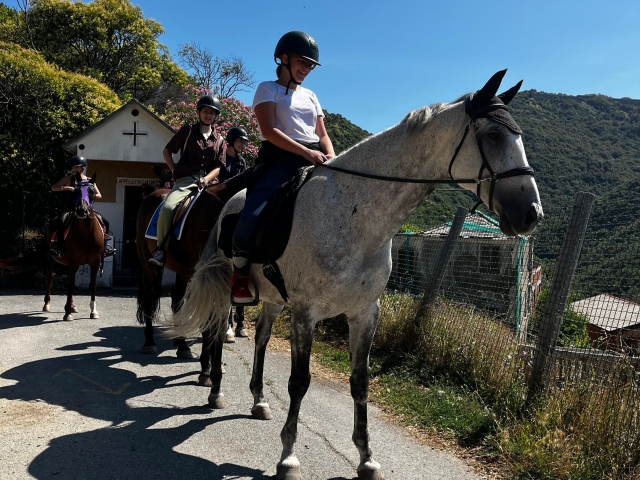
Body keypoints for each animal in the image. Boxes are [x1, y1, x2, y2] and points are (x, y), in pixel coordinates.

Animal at [43, 173, 104, 321]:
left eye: (92, 191)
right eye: (76, 191)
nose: (82, 211)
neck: (87, 233)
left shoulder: (95, 262)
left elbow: (92, 286)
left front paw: (93, 311)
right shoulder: (73, 262)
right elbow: (70, 285)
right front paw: (67, 313)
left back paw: (72, 306)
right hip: (51, 259)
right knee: (49, 279)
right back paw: (47, 305)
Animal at [135, 173, 247, 376]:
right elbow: (209, 321)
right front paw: (207, 367)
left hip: (184, 272)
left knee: (177, 299)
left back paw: (182, 345)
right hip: (148, 267)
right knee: (148, 300)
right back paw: (150, 343)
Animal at [172, 70, 544, 480]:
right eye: (493, 135)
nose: (532, 213)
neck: (355, 215)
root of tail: (227, 204)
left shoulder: (365, 313)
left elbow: (360, 382)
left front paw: (366, 458)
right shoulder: (306, 313)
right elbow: (299, 383)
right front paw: (288, 457)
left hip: (273, 299)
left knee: (261, 340)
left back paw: (258, 400)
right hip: (227, 290)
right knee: (216, 334)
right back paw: (215, 390)